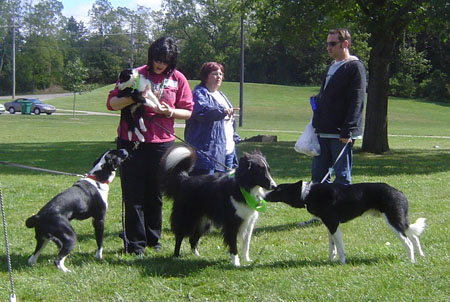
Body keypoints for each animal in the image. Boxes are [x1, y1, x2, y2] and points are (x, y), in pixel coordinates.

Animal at [266, 180, 428, 264]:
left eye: (278, 190)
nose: (265, 195)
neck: (308, 193)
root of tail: (400, 193)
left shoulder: (333, 224)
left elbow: (339, 246)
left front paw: (341, 262)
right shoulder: (329, 226)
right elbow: (331, 246)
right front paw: (330, 259)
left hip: (393, 220)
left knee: (408, 242)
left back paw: (411, 261)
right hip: (398, 220)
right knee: (414, 237)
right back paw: (421, 256)